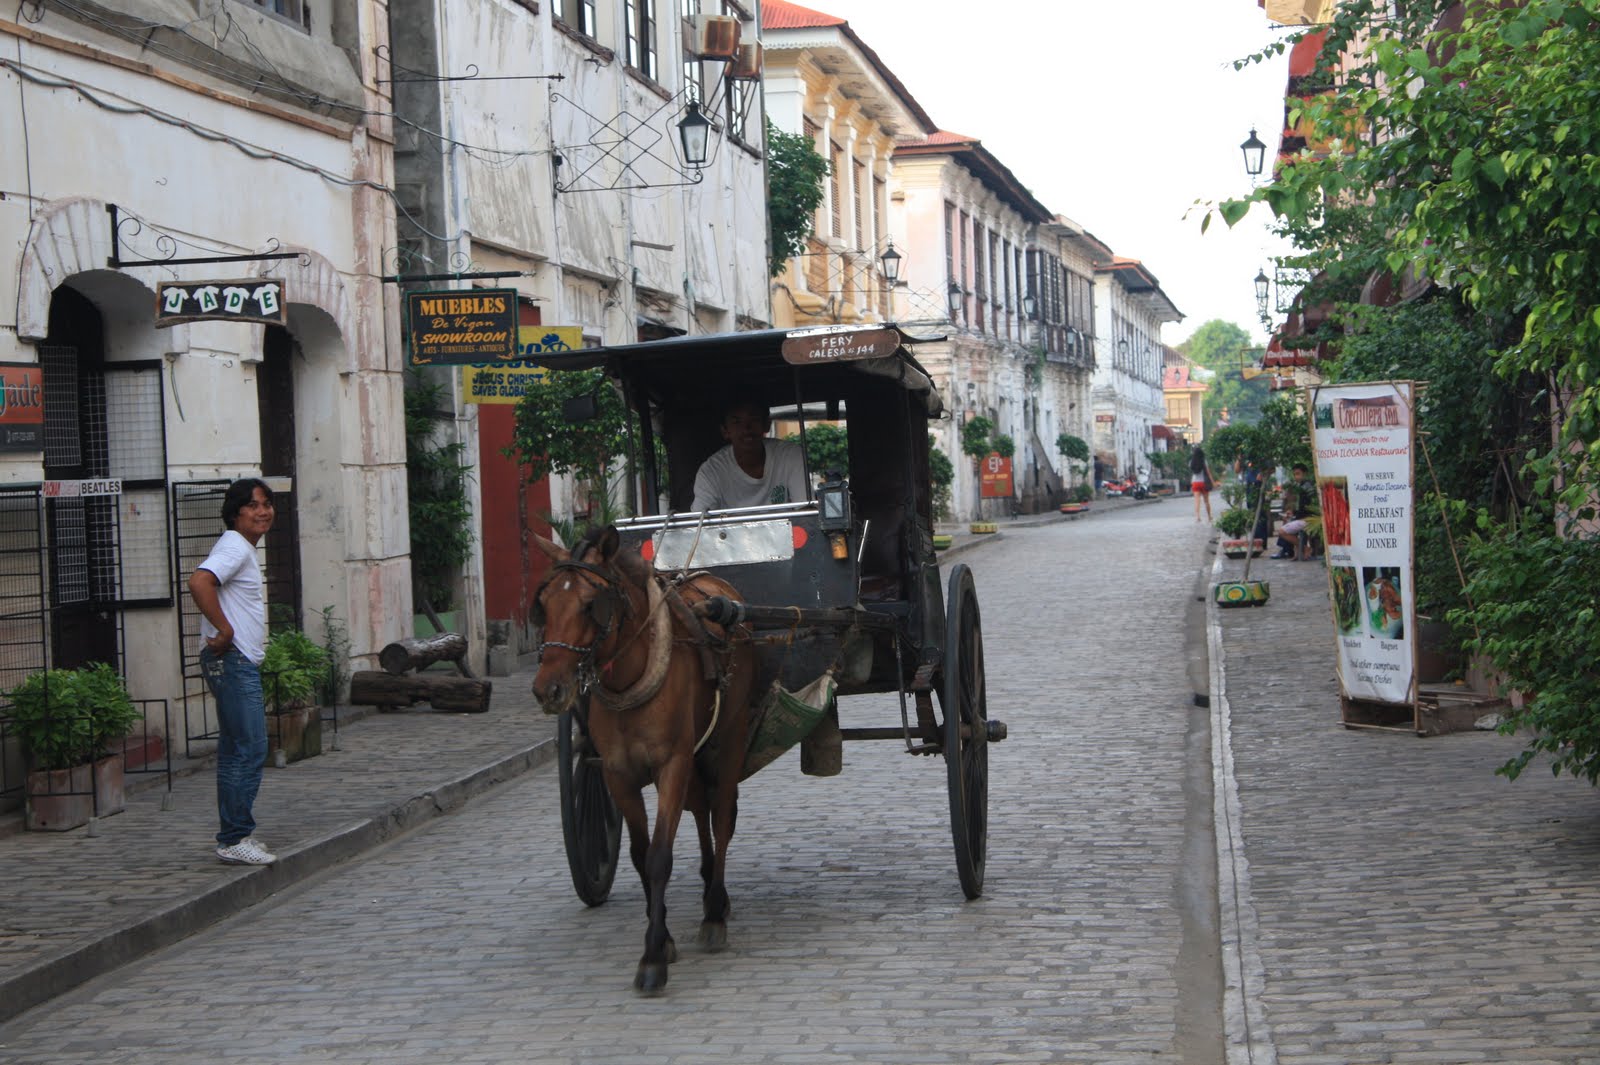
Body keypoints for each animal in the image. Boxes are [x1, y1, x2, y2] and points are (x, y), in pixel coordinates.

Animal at [531, 527, 755, 991]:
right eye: (544, 603)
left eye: (590, 604)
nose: (548, 689)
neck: (628, 676)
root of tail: (717, 585)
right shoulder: (618, 774)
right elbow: (639, 853)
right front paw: (663, 935)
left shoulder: (671, 765)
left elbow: (659, 857)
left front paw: (652, 956)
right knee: (702, 810)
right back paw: (711, 888)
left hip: (728, 738)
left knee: (722, 818)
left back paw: (714, 910)